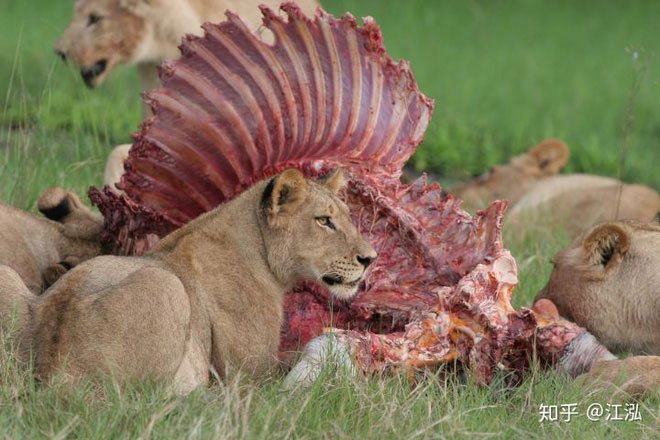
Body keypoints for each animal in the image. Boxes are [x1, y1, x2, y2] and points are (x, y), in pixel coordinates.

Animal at [0, 170, 376, 394]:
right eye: (324, 221)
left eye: (348, 217)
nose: (370, 259)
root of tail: (51, 376)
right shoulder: (249, 376)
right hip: (168, 287)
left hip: (9, 277)